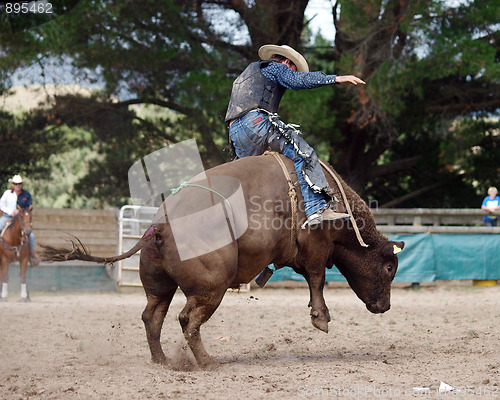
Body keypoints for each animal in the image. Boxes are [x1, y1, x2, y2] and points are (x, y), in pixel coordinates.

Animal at [41, 154, 404, 368]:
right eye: (389, 268)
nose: (385, 306)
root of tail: (160, 225)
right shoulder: (316, 245)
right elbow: (317, 277)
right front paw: (321, 317)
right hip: (211, 287)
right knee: (187, 320)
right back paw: (207, 362)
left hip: (159, 286)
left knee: (152, 317)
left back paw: (163, 361)